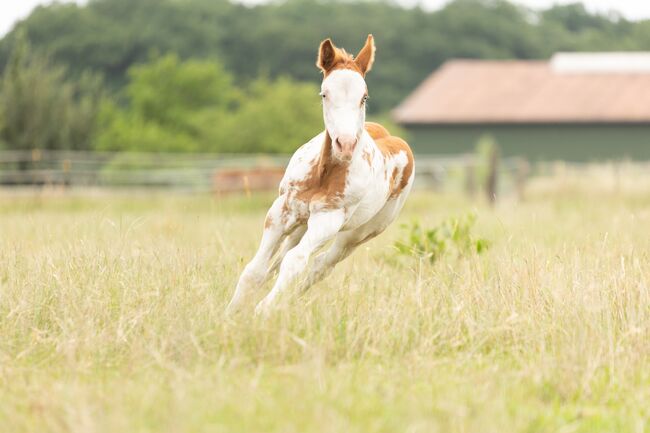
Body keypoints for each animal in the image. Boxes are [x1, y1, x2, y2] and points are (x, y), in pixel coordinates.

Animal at [225, 34, 412, 314]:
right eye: (325, 93)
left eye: (364, 97)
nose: (345, 144)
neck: (322, 175)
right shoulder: (280, 212)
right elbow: (255, 270)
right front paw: (230, 314)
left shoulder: (328, 220)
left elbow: (295, 262)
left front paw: (262, 311)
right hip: (301, 224)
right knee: (281, 259)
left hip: (357, 234)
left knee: (320, 266)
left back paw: (287, 302)